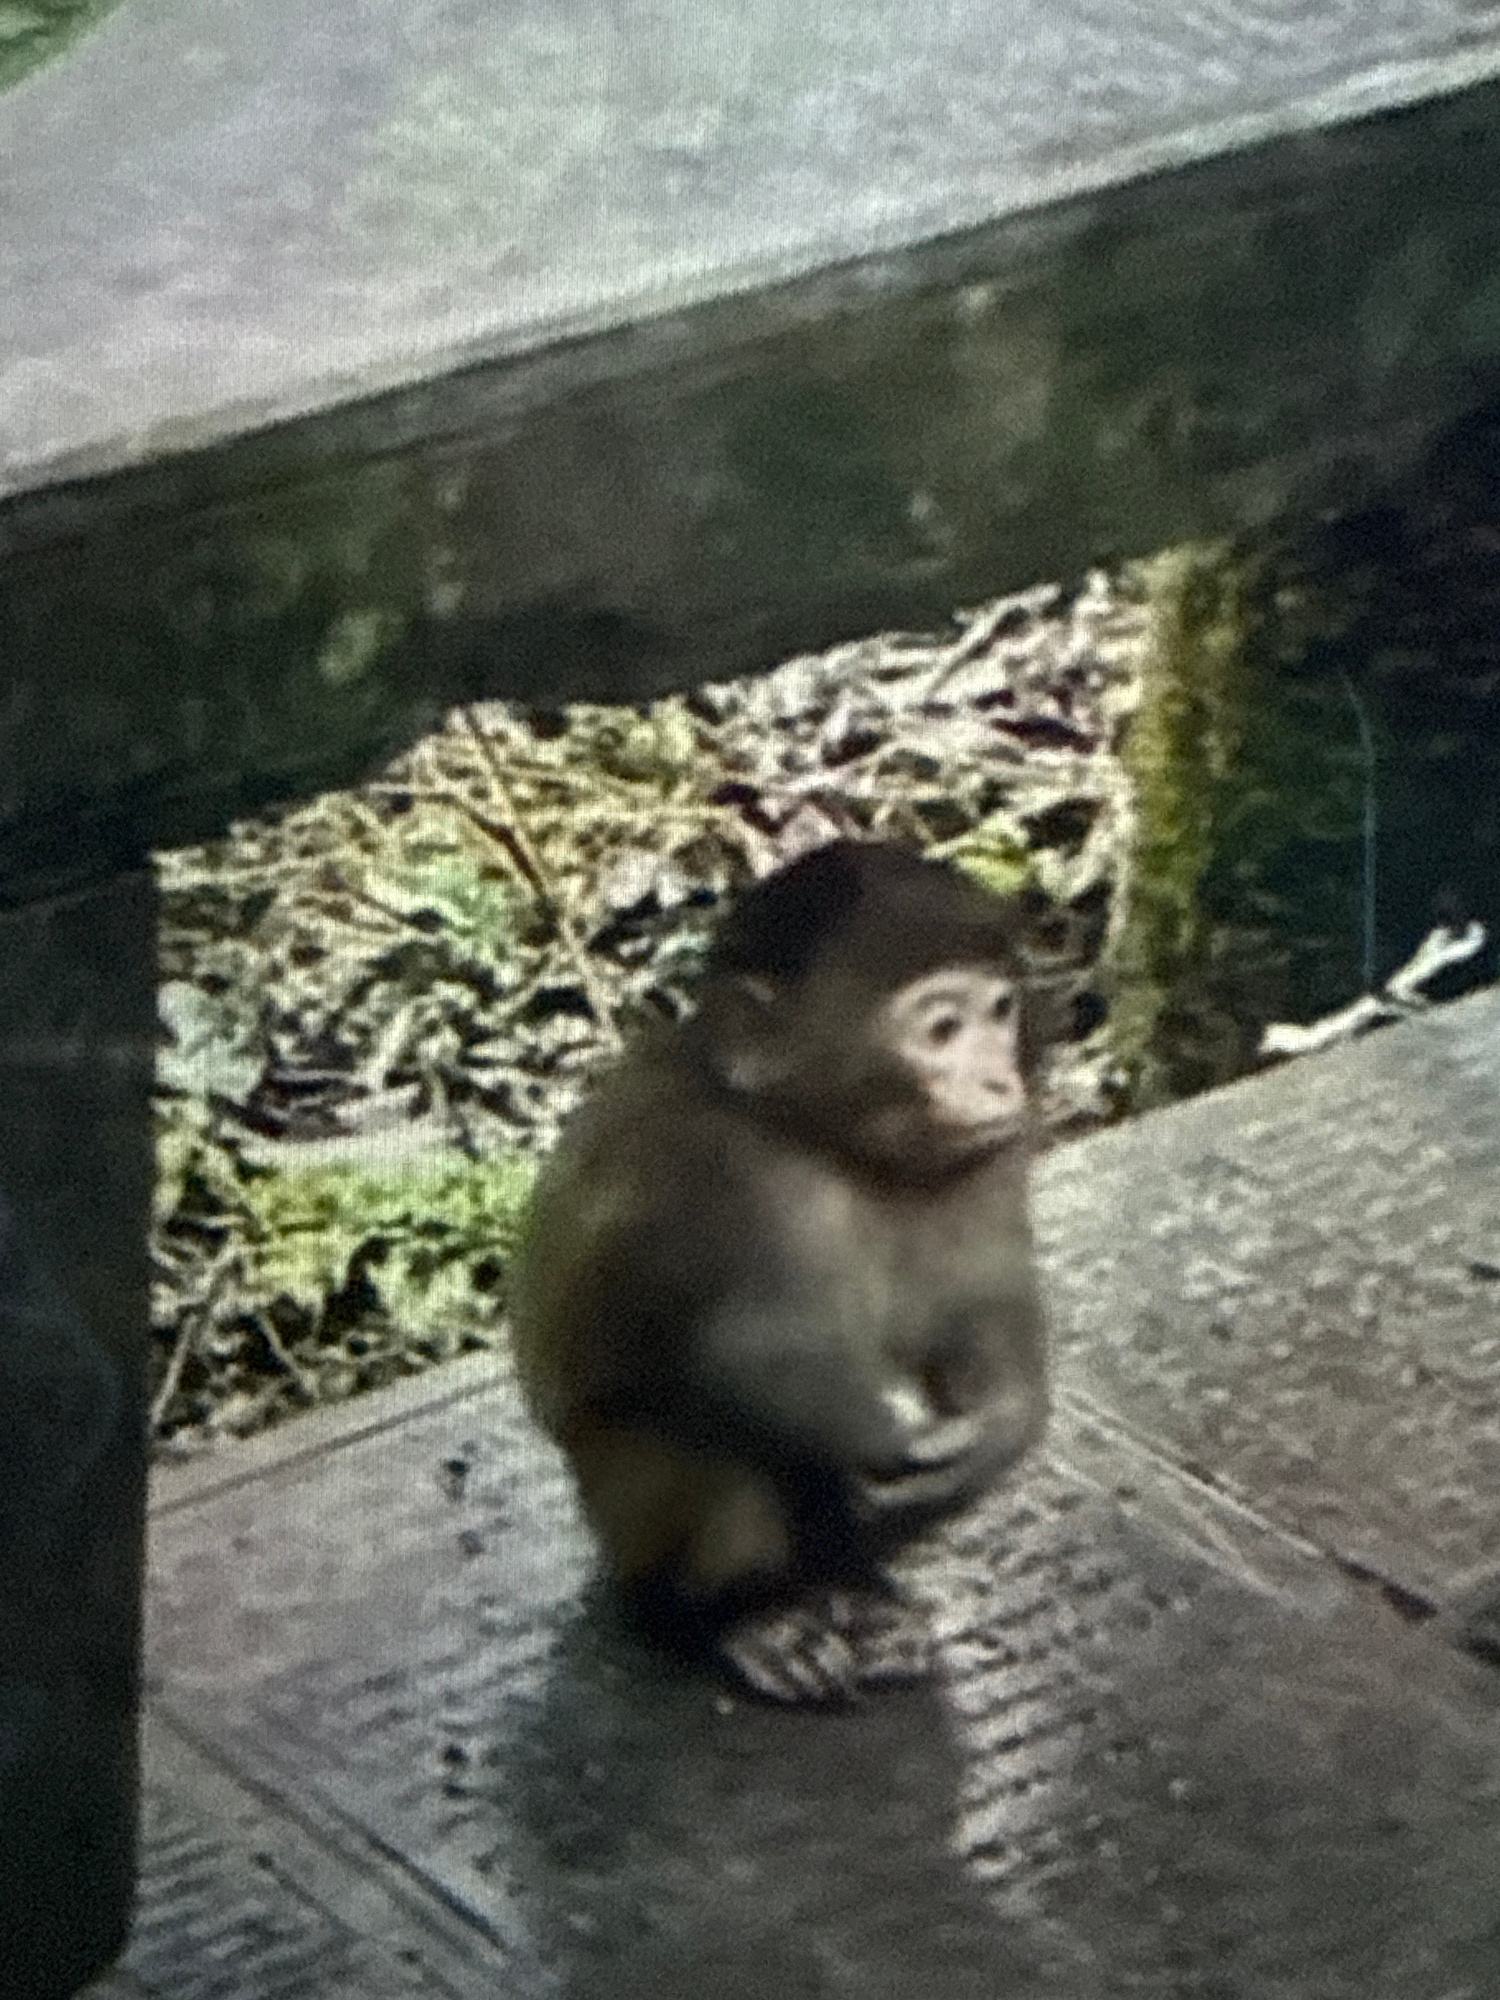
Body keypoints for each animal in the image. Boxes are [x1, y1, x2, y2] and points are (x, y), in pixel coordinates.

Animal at [508, 840, 1049, 1703]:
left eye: (1000, 1012)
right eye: (941, 1027)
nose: (1002, 1080)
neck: (823, 1136)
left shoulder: (987, 1152)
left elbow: (985, 1300)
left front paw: (998, 1424)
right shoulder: (720, 1176)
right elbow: (741, 1350)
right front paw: (881, 1440)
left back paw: (856, 1595)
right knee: (706, 1453)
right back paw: (740, 1617)